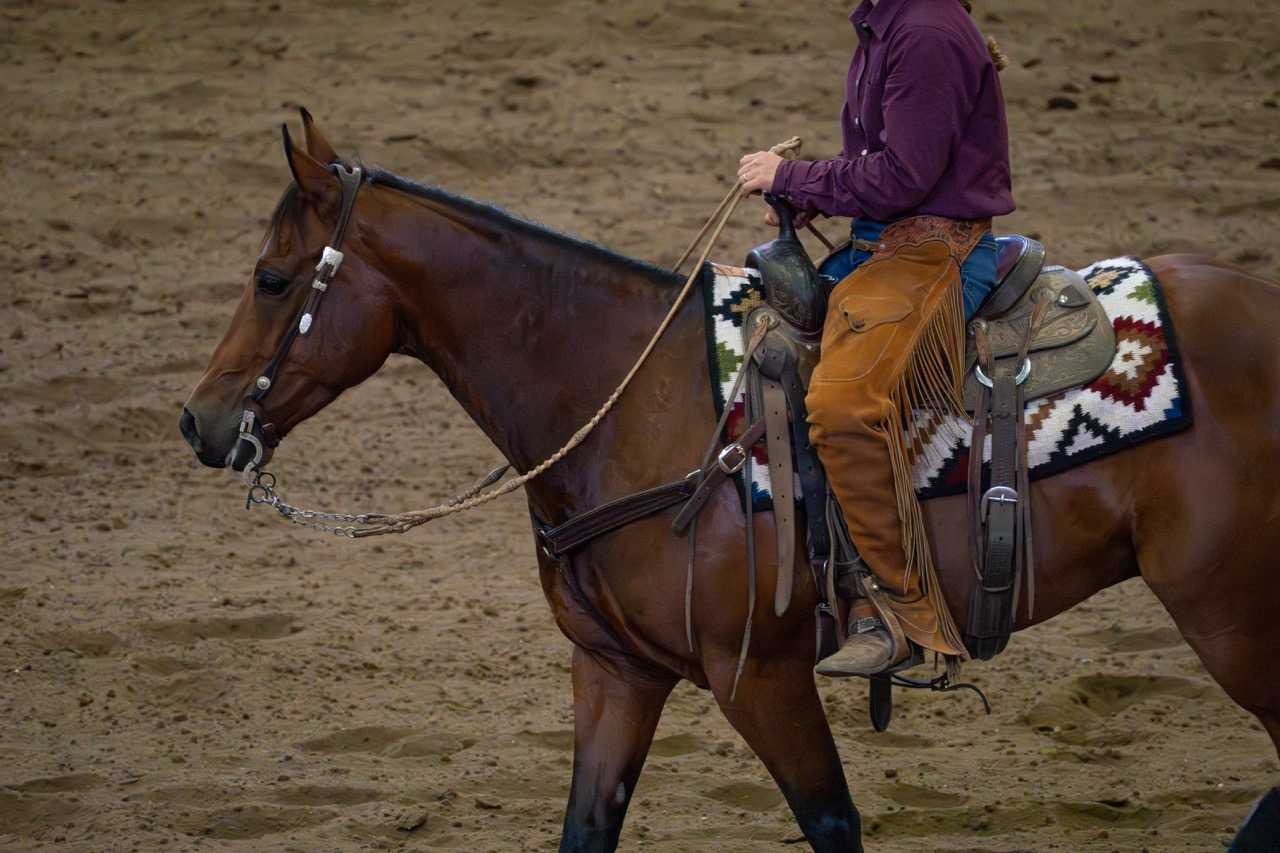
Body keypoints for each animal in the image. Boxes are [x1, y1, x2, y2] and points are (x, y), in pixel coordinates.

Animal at [180, 111, 1280, 852]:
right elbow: (586, 827)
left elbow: (831, 822)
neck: (633, 399)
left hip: (1229, 610)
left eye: (272, 278)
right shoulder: (615, 670)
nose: (200, 421)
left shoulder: (761, 675)